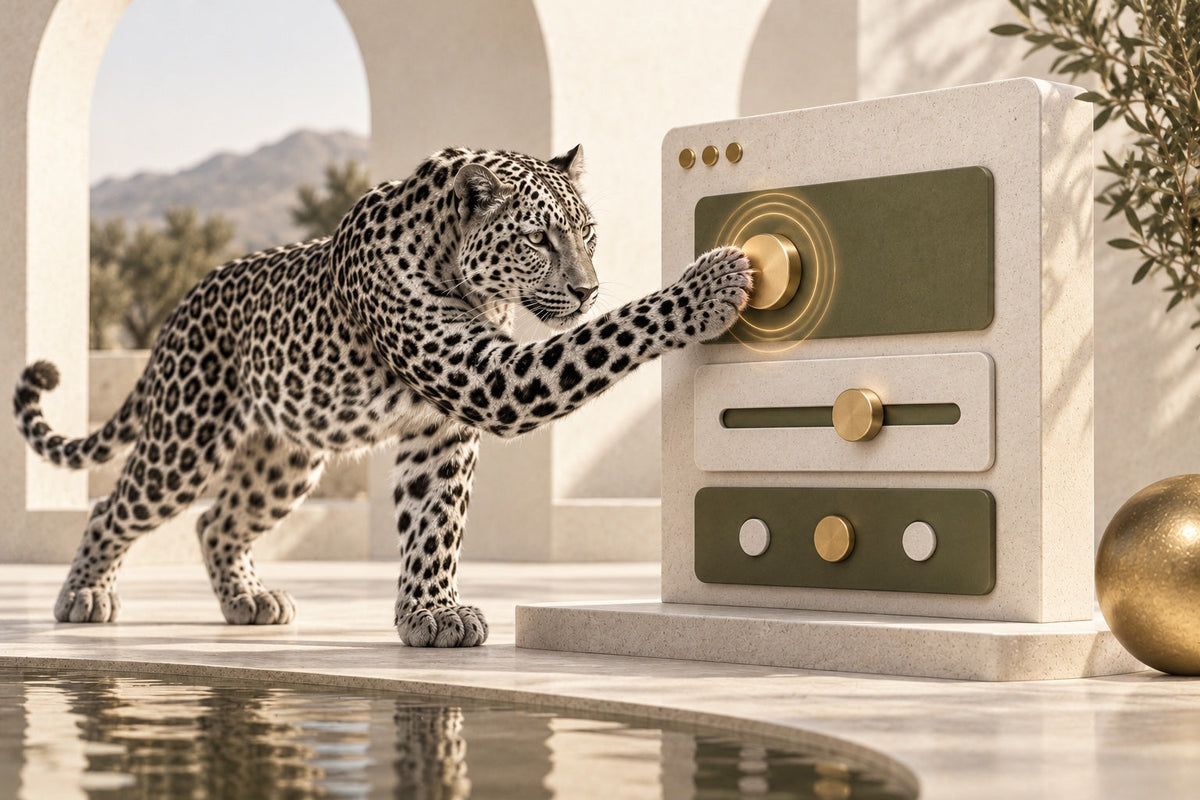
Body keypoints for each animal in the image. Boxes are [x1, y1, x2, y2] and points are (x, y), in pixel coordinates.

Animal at [12, 144, 752, 647]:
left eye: (588, 233)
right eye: (539, 239)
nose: (587, 289)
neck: (462, 268)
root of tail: (178, 309)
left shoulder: (443, 428)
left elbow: (435, 521)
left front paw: (430, 613)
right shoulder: (490, 381)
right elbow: (612, 332)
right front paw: (707, 286)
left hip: (284, 461)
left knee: (215, 521)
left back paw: (248, 602)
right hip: (185, 438)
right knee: (114, 506)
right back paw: (84, 597)